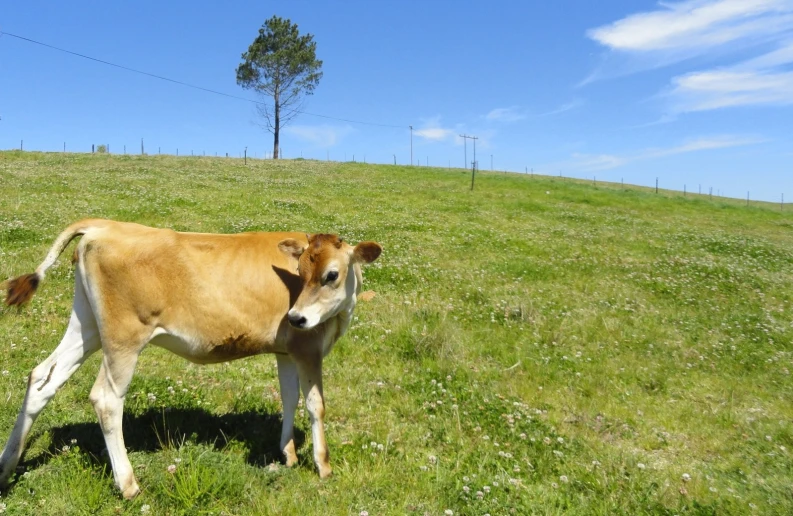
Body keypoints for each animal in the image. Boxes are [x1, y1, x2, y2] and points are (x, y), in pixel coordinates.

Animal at [0, 219, 384, 500]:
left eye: (330, 275)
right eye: (301, 275)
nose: (297, 316)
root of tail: (105, 225)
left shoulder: (286, 351)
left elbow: (289, 398)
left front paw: (287, 454)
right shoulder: (308, 347)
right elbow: (315, 405)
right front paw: (323, 466)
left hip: (87, 327)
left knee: (41, 379)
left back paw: (6, 467)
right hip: (124, 340)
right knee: (106, 399)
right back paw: (129, 484)